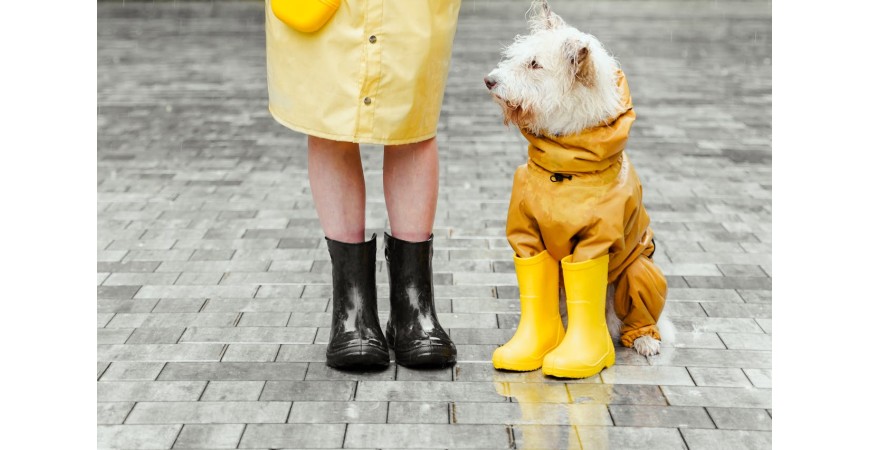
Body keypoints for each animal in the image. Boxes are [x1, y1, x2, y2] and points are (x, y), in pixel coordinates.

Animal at [484, 1, 676, 356]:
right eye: (517, 57)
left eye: (534, 64)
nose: (489, 80)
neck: (566, 162)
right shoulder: (526, 234)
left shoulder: (596, 240)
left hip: (639, 269)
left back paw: (642, 338)